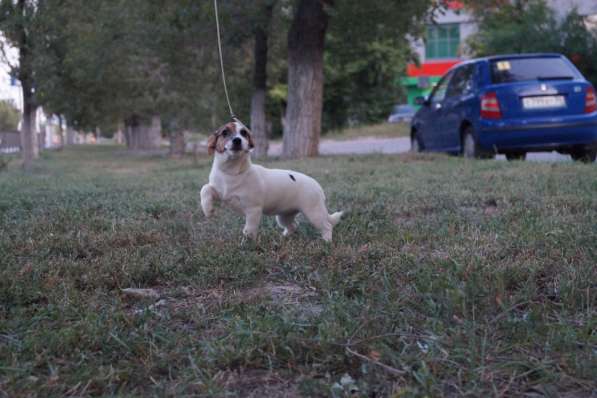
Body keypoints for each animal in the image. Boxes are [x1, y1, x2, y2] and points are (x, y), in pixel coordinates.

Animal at [200, 119, 342, 241]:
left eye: (244, 133)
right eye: (224, 132)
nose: (237, 140)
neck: (231, 172)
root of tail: (317, 185)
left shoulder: (253, 210)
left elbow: (249, 229)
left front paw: (247, 243)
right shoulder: (220, 192)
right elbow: (205, 189)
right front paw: (208, 210)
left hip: (314, 213)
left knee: (327, 226)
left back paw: (326, 241)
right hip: (284, 216)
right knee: (293, 225)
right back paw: (284, 237)